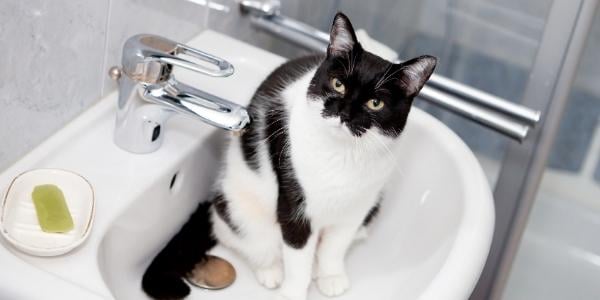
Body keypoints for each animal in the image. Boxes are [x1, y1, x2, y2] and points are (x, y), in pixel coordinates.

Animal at [142, 11, 436, 300]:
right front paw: (294, 290)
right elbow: (297, 255)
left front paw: (331, 276)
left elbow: (335, 247)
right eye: (338, 84)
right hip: (237, 206)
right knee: (242, 236)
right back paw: (269, 270)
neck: (341, 154)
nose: (344, 114)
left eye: (376, 103)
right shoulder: (293, 202)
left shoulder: (357, 207)